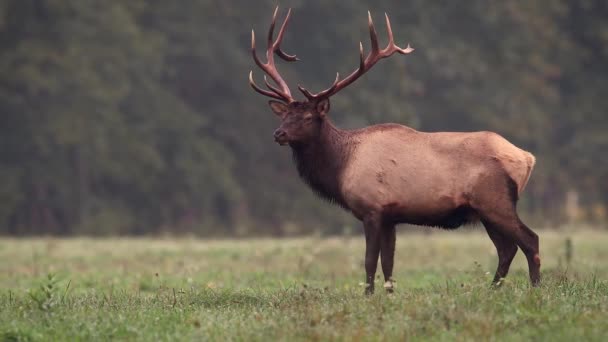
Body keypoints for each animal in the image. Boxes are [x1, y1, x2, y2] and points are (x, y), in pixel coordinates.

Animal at [248, 7, 540, 294]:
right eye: (285, 115)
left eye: (308, 117)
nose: (279, 134)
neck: (341, 167)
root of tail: (527, 158)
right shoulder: (391, 216)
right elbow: (388, 262)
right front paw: (389, 295)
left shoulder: (372, 209)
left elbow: (369, 260)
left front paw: (368, 295)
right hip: (484, 209)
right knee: (507, 248)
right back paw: (493, 289)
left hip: (495, 200)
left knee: (529, 240)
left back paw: (535, 288)